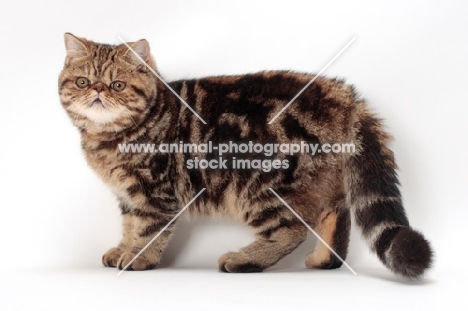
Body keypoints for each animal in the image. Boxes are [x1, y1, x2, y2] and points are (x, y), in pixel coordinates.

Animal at [60, 33, 434, 280]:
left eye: (118, 85)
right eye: (82, 82)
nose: (98, 90)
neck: (110, 138)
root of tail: (340, 92)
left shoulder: (156, 193)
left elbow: (148, 228)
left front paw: (137, 257)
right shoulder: (128, 195)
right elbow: (129, 225)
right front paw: (122, 249)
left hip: (261, 185)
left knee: (291, 229)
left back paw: (245, 261)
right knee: (335, 213)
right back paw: (323, 260)